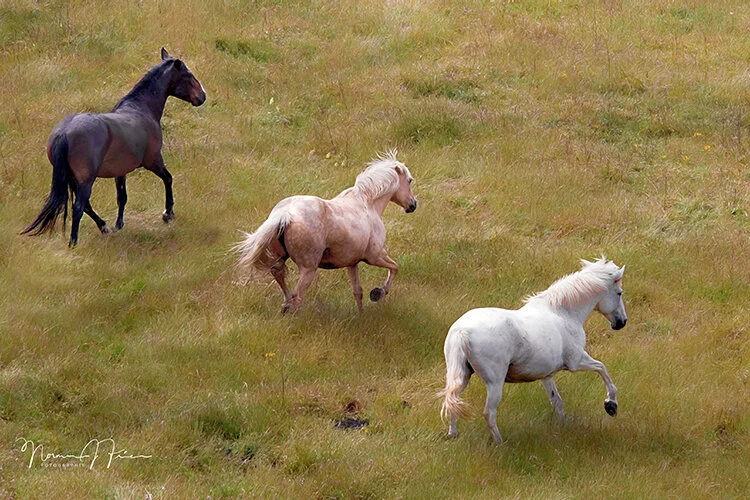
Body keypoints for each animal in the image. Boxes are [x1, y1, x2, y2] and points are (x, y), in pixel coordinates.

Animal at [21, 48, 206, 247]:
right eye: (188, 75)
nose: (202, 96)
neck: (141, 109)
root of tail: (64, 132)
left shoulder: (120, 171)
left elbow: (122, 197)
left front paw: (119, 224)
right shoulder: (153, 161)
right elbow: (168, 179)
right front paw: (168, 214)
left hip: (72, 178)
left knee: (86, 206)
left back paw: (104, 227)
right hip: (86, 180)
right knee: (79, 207)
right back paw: (74, 242)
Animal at [234, 151, 417, 313]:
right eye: (409, 180)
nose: (413, 205)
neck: (367, 203)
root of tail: (285, 214)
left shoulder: (352, 263)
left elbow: (358, 291)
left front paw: (361, 315)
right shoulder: (375, 255)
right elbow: (395, 267)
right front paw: (378, 293)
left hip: (281, 258)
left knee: (280, 277)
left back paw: (285, 306)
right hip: (308, 268)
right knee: (297, 295)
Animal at [440, 257, 627, 444]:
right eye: (619, 293)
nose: (622, 322)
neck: (563, 313)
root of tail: (462, 331)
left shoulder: (546, 375)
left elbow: (557, 401)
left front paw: (563, 427)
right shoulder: (577, 361)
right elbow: (602, 369)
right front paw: (611, 405)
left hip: (462, 375)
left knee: (452, 400)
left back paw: (453, 434)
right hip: (494, 383)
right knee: (488, 413)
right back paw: (500, 443)